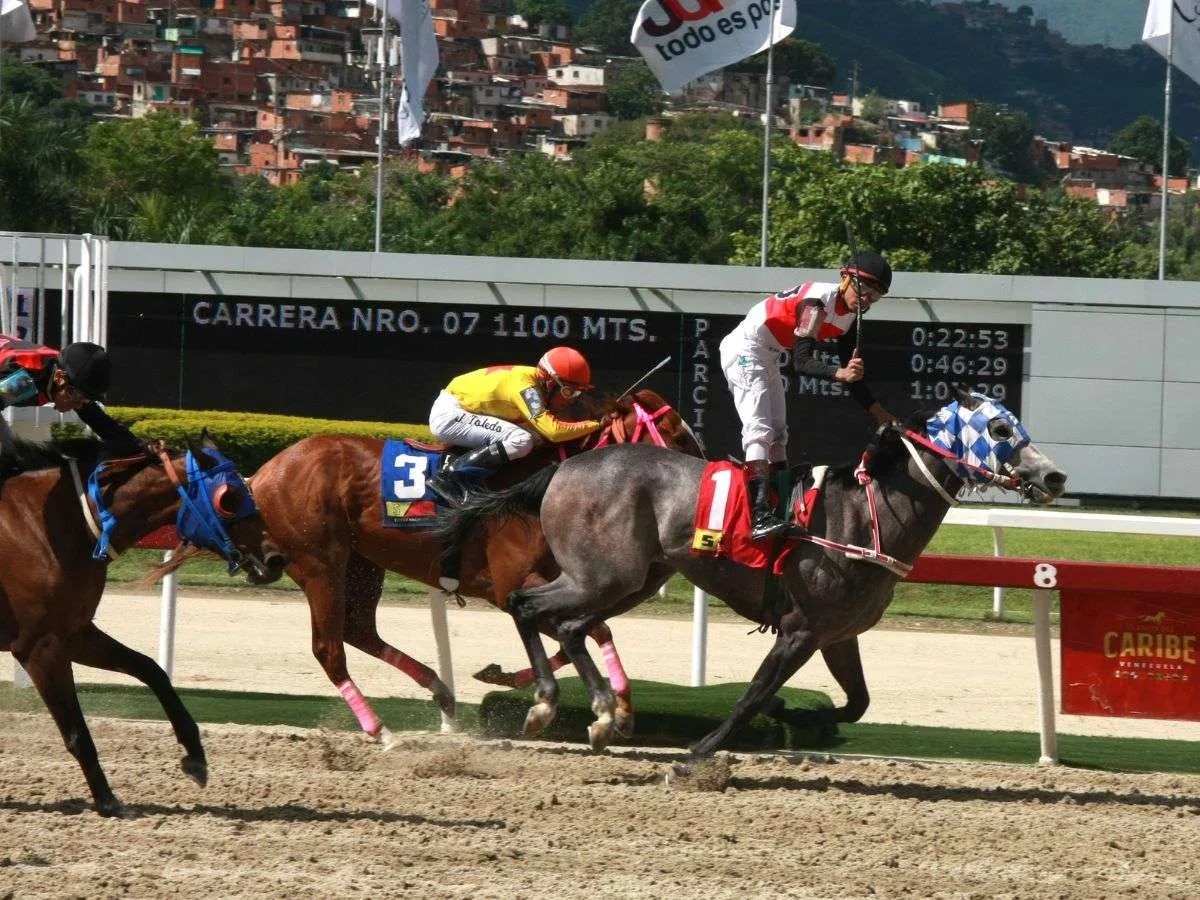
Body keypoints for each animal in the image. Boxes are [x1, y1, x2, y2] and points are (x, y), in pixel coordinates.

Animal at [0, 434, 283, 820]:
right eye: (230, 498)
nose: (275, 558)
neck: (58, 523)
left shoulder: (74, 632)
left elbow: (152, 670)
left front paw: (195, 756)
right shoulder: (39, 646)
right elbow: (76, 731)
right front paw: (108, 801)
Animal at [250, 388, 700, 748]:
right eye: (677, 433)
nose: (702, 485)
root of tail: (262, 474)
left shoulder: (567, 581)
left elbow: (590, 630)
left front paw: (615, 709)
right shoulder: (509, 583)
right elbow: (581, 625)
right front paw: (581, 708)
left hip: (361, 564)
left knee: (358, 630)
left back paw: (441, 693)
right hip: (319, 563)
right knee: (329, 649)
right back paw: (381, 730)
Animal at [441, 391, 1070, 763]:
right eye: (998, 428)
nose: (1055, 476)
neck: (867, 514)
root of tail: (563, 468)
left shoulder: (839, 634)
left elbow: (856, 702)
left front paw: (799, 718)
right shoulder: (800, 629)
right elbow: (751, 695)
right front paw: (702, 750)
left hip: (632, 580)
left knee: (551, 616)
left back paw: (579, 711)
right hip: (605, 576)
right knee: (537, 609)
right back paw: (572, 710)